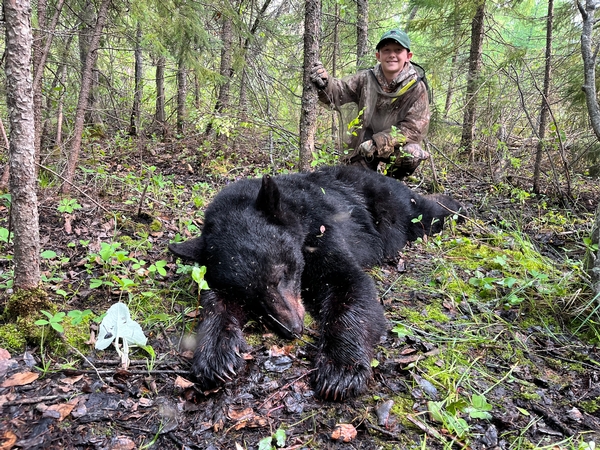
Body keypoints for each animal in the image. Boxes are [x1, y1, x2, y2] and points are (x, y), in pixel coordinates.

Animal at [170, 165, 464, 400]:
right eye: (249, 297)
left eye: (280, 274)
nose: (292, 328)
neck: (296, 214)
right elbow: (215, 301)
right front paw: (216, 355)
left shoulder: (322, 230)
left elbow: (347, 283)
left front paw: (340, 369)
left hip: (395, 208)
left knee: (425, 213)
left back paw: (455, 207)